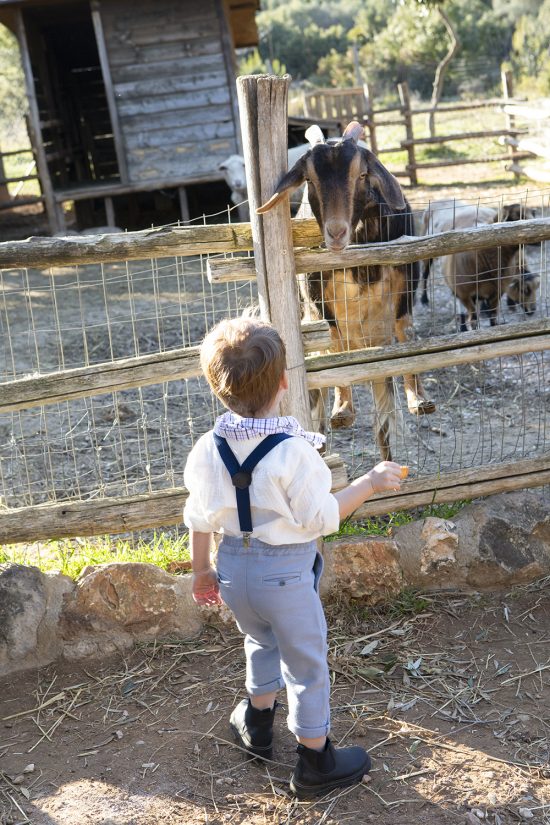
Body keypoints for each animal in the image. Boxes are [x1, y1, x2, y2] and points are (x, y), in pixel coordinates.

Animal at [258, 120, 436, 460]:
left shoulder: (406, 275)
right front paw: (342, 410)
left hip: (377, 351)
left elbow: (405, 327)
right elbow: (335, 344)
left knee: (382, 425)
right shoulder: (317, 296)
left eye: (362, 175)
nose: (336, 232)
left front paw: (419, 399)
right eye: (309, 179)